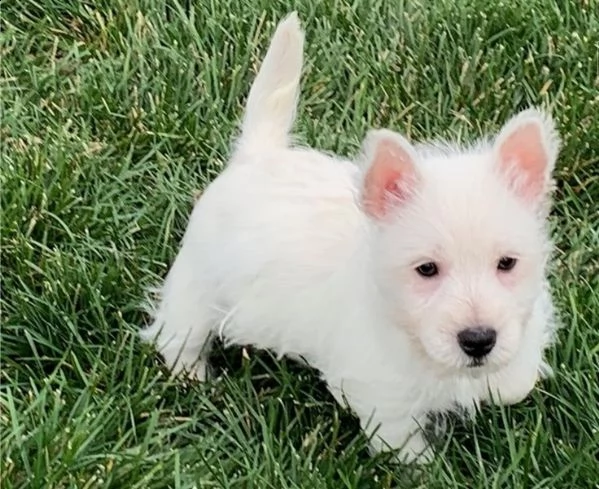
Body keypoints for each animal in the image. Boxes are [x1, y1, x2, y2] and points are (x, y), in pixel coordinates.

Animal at [142, 12, 564, 462]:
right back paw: (192, 375)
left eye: (507, 263)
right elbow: (403, 442)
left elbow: (516, 377)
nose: (478, 340)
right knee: (178, 332)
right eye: (426, 269)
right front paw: (423, 467)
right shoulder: (383, 395)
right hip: (197, 288)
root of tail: (255, 155)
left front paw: (507, 382)